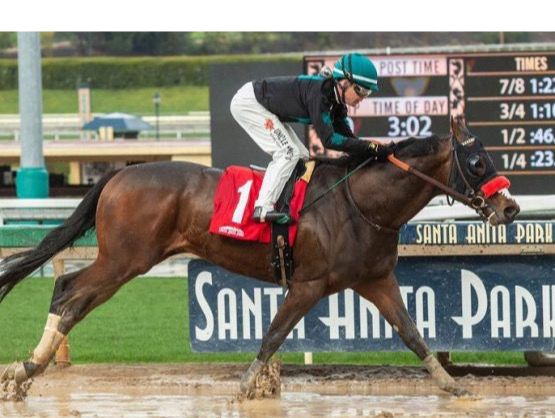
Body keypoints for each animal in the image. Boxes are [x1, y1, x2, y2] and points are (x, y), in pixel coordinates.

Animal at [2, 115, 520, 398]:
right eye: (478, 163)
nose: (510, 208)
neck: (359, 203)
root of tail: (118, 174)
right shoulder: (309, 284)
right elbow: (272, 335)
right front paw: (245, 388)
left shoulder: (376, 280)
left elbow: (412, 333)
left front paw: (452, 384)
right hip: (124, 259)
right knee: (69, 291)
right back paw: (25, 369)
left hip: (124, 259)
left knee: (69, 293)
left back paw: (29, 370)